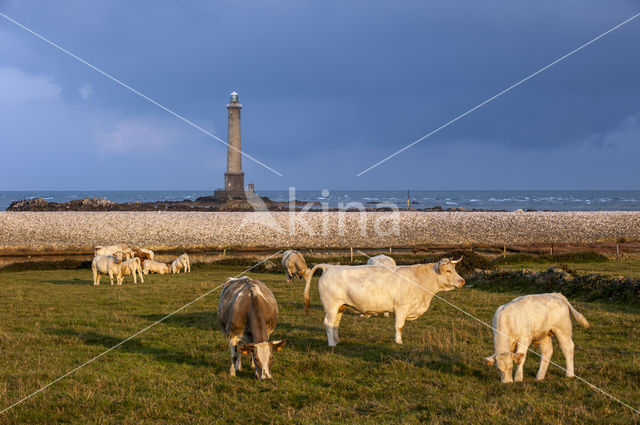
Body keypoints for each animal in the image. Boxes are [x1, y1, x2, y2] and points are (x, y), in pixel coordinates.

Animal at [304, 255, 464, 344]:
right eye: (448, 270)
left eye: (454, 269)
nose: (462, 281)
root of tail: (329, 267)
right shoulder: (401, 308)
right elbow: (399, 326)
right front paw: (398, 342)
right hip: (330, 306)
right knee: (328, 324)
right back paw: (332, 344)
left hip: (340, 307)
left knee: (335, 324)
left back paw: (337, 340)